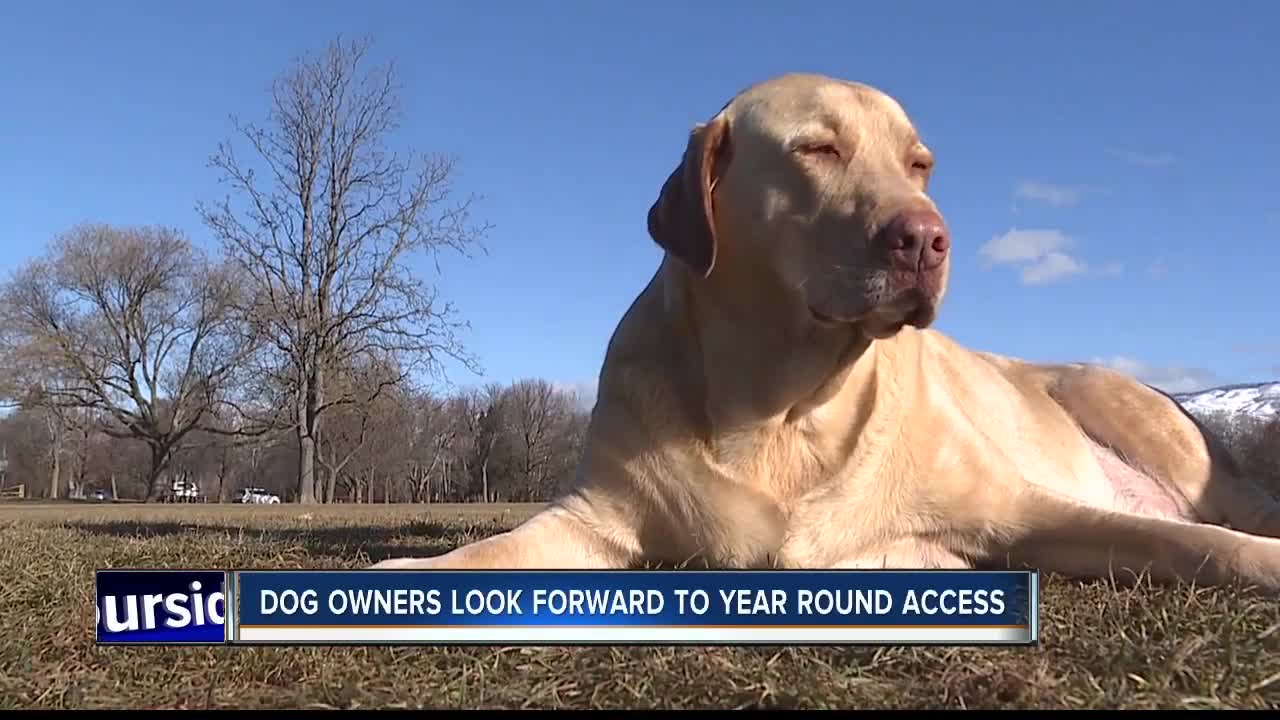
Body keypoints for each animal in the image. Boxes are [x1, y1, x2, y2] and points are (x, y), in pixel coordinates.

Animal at [371, 73, 1280, 589]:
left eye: (919, 165)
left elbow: (1187, 540)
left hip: (1136, 417)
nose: (927, 238)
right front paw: (409, 572)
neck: (783, 405)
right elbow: (488, 554)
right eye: (817, 149)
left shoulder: (1024, 510)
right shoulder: (594, 517)